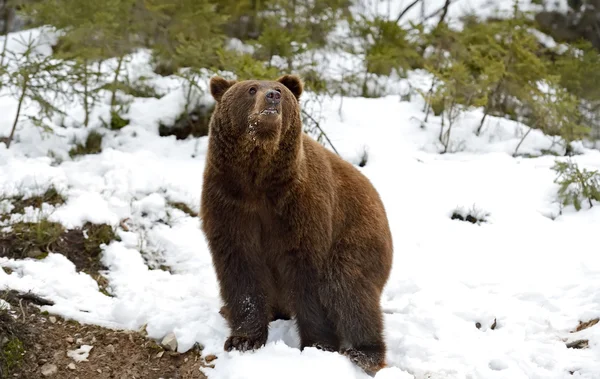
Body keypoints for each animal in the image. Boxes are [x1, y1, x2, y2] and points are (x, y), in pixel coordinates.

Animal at [199, 75, 392, 378]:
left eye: (280, 90)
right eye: (251, 89)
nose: (273, 96)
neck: (258, 179)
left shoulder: (300, 207)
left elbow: (307, 275)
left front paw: (319, 345)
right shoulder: (228, 203)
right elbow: (240, 267)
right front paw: (244, 339)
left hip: (358, 236)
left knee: (347, 286)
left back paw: (364, 353)